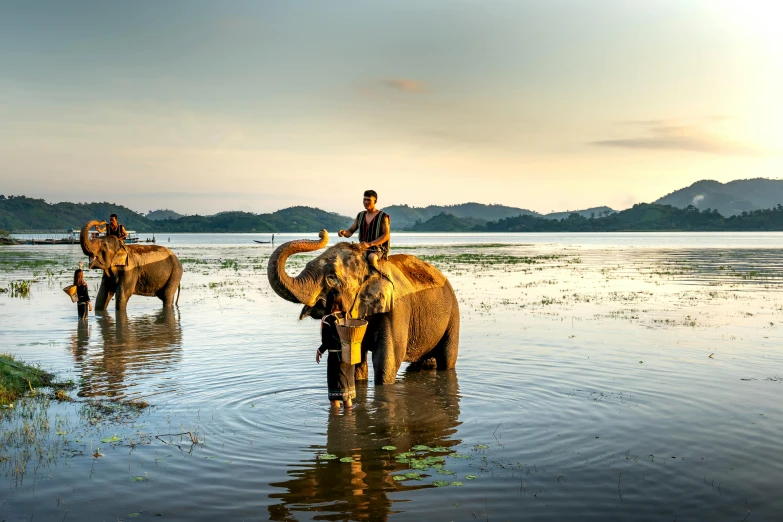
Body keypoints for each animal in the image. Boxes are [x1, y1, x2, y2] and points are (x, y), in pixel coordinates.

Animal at [268, 230, 460, 384]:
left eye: (331, 277)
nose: (322, 232)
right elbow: (356, 360)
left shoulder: (397, 310)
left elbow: (386, 362)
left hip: (453, 314)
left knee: (447, 359)